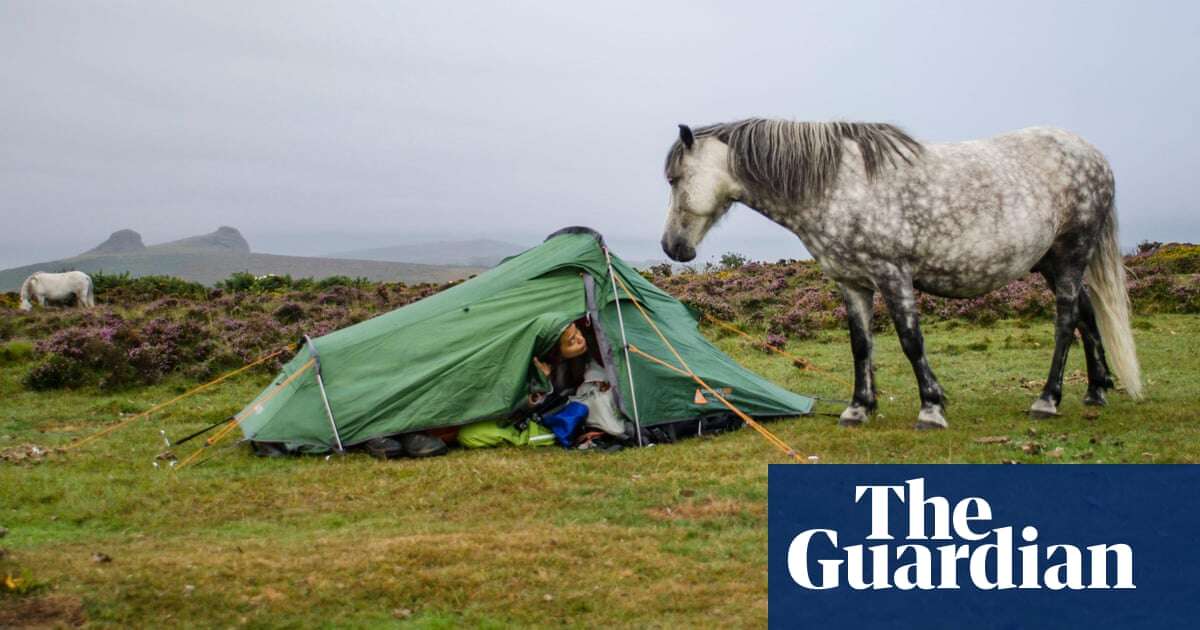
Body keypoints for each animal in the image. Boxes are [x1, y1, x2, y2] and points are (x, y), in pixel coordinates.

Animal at [662, 119, 1137, 427]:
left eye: (675, 178)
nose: (672, 246)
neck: (837, 184)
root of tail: (1093, 156)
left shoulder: (892, 275)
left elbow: (911, 341)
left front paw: (931, 408)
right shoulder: (852, 284)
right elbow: (860, 346)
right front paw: (858, 409)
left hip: (1071, 255)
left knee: (1065, 322)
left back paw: (1047, 400)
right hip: (1051, 263)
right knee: (1086, 315)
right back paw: (1096, 391)